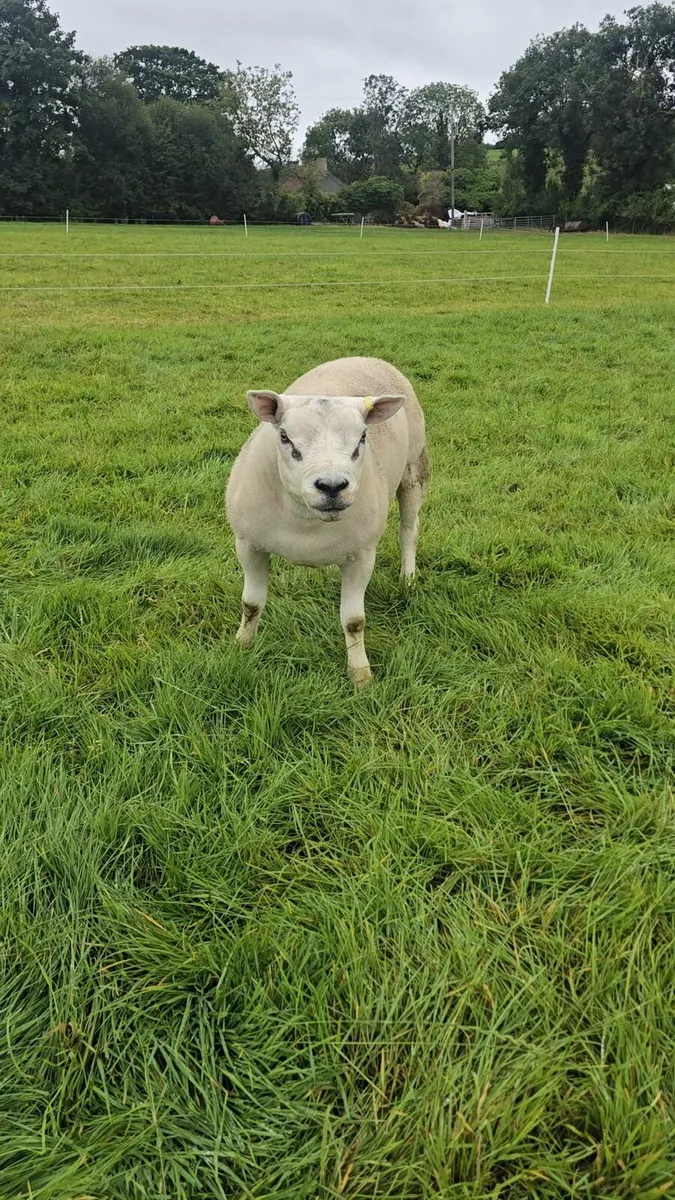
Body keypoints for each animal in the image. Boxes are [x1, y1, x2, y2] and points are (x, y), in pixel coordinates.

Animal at [226, 356, 429, 686]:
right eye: (285, 437)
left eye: (362, 437)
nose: (332, 486)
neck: (305, 523)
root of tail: (364, 357)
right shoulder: (248, 544)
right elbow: (251, 604)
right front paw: (242, 645)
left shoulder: (362, 555)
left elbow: (354, 621)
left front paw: (361, 675)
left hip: (415, 467)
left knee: (409, 529)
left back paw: (407, 578)